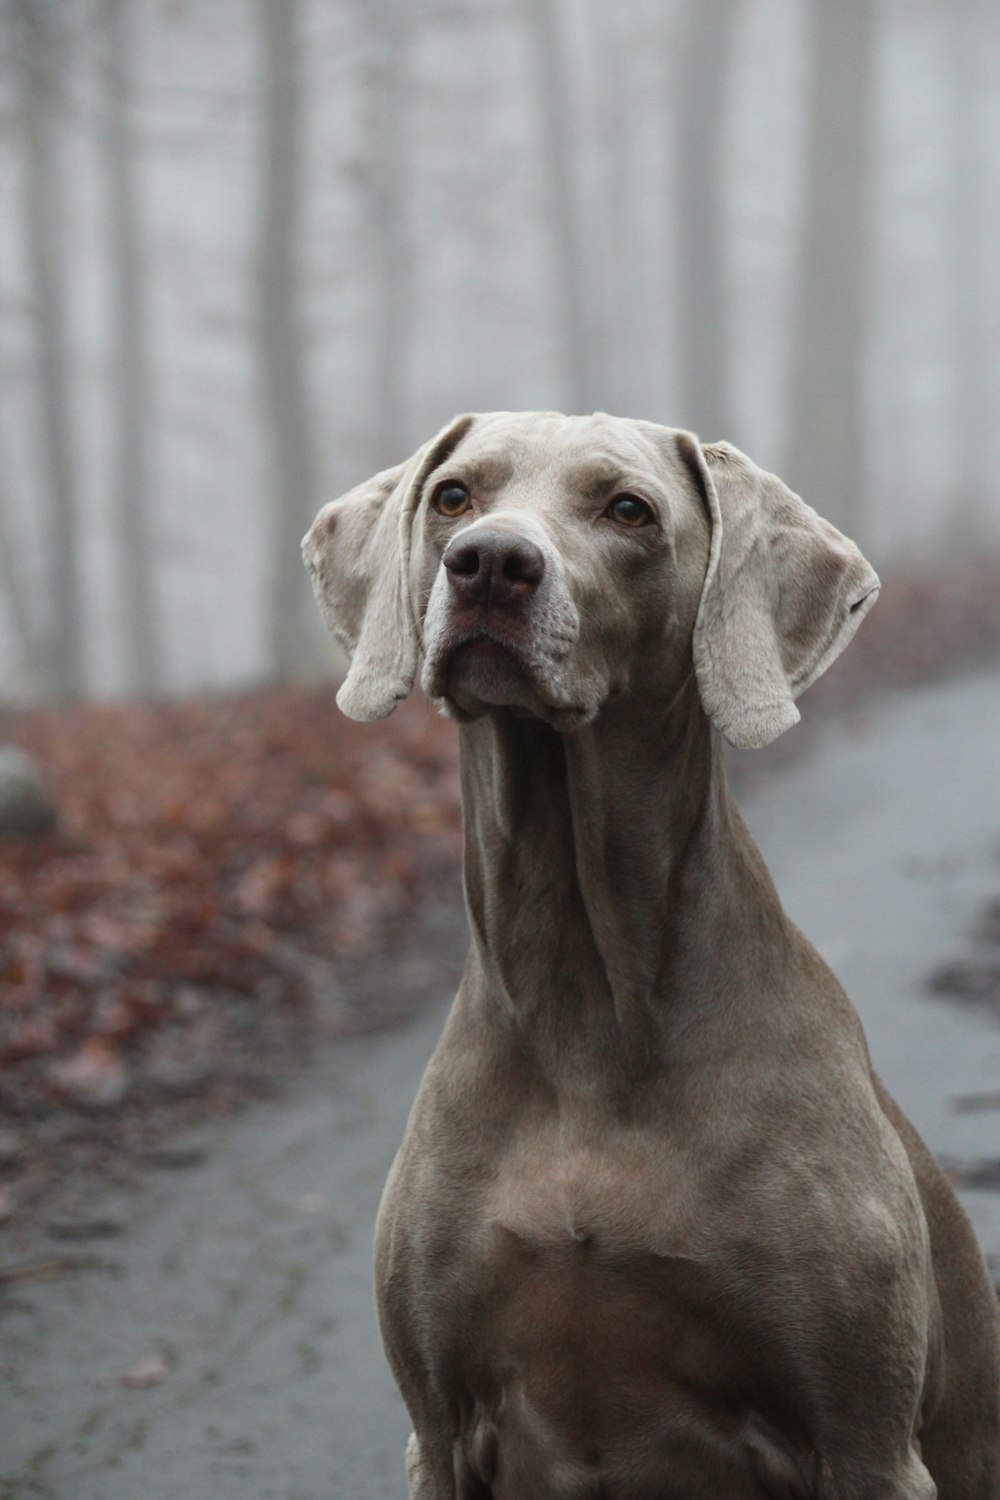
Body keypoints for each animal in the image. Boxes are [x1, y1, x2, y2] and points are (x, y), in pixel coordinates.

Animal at [302, 411, 1000, 1500]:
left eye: (626, 509)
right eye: (454, 495)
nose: (489, 564)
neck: (587, 999)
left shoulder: (867, 1442)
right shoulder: (439, 1431)